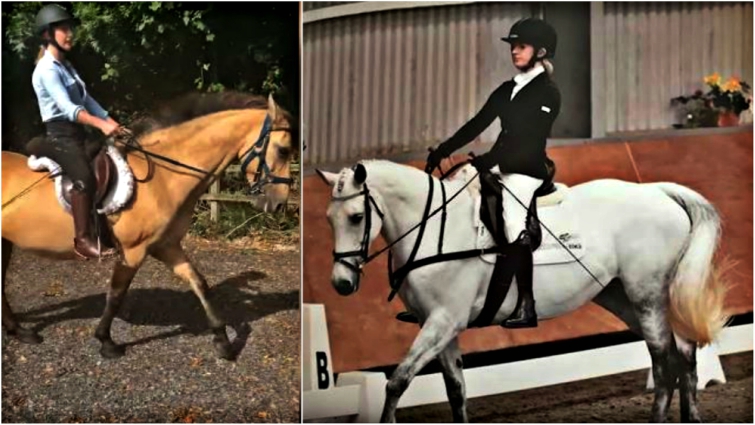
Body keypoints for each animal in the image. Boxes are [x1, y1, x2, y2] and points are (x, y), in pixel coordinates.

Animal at [2, 91, 297, 360]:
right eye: (283, 150)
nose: (278, 204)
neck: (162, 178)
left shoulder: (166, 245)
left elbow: (199, 283)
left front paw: (223, 342)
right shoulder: (133, 251)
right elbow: (116, 295)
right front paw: (106, 342)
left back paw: (20, 332)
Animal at [316, 158, 731, 423]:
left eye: (356, 217)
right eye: (328, 219)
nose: (341, 283)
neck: (434, 228)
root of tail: (657, 191)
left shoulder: (443, 321)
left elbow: (397, 381)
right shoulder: (441, 326)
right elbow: (456, 389)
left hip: (647, 294)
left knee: (662, 359)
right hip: (622, 296)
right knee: (682, 353)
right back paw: (691, 417)